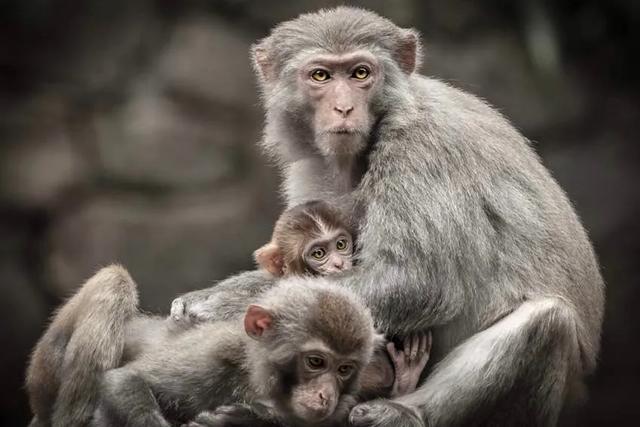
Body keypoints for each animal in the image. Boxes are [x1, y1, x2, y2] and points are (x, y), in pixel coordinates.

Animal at [27, 266, 380, 426]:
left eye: (345, 369)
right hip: (44, 375)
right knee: (116, 279)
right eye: (316, 362)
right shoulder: (213, 355)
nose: (325, 395)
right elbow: (123, 380)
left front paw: (244, 418)